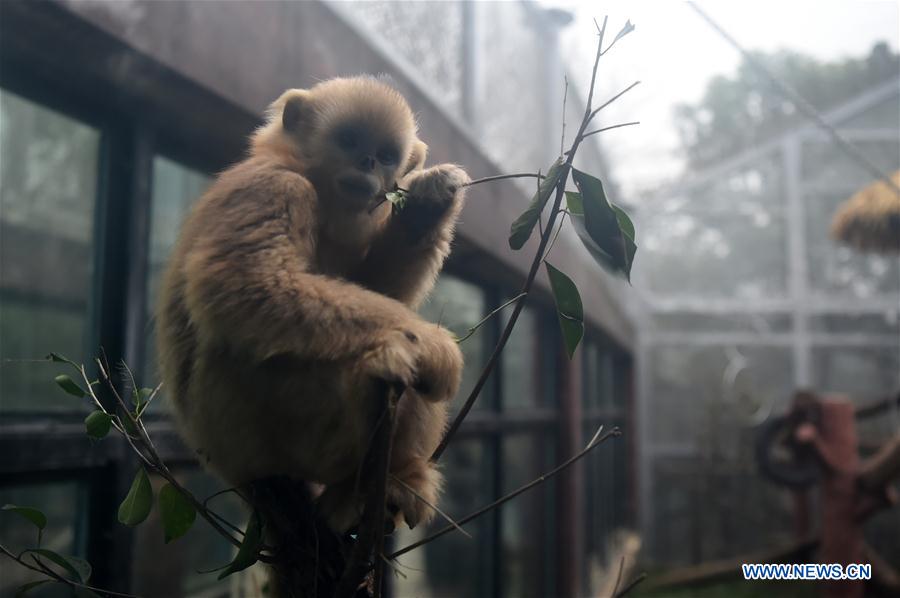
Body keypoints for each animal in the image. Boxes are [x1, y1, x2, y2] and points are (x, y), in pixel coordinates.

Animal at [155, 76, 469, 534]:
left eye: (387, 155)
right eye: (349, 139)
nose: (368, 161)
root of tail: (227, 468)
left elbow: (377, 288)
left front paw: (427, 207)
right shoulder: (276, 189)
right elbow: (246, 282)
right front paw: (434, 347)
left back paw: (394, 481)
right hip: (263, 427)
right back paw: (360, 485)